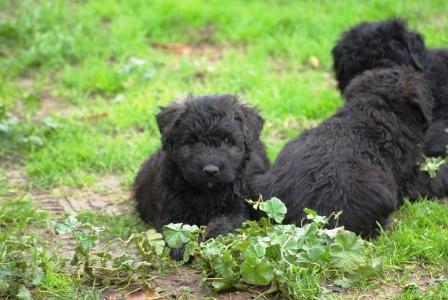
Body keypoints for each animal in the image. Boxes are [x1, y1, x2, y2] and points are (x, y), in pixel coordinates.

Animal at [131, 94, 268, 258]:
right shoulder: (171, 207)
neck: (207, 193)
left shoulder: (238, 208)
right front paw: (182, 246)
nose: (210, 170)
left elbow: (225, 223)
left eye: (227, 139)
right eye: (192, 140)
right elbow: (177, 227)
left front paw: (211, 239)